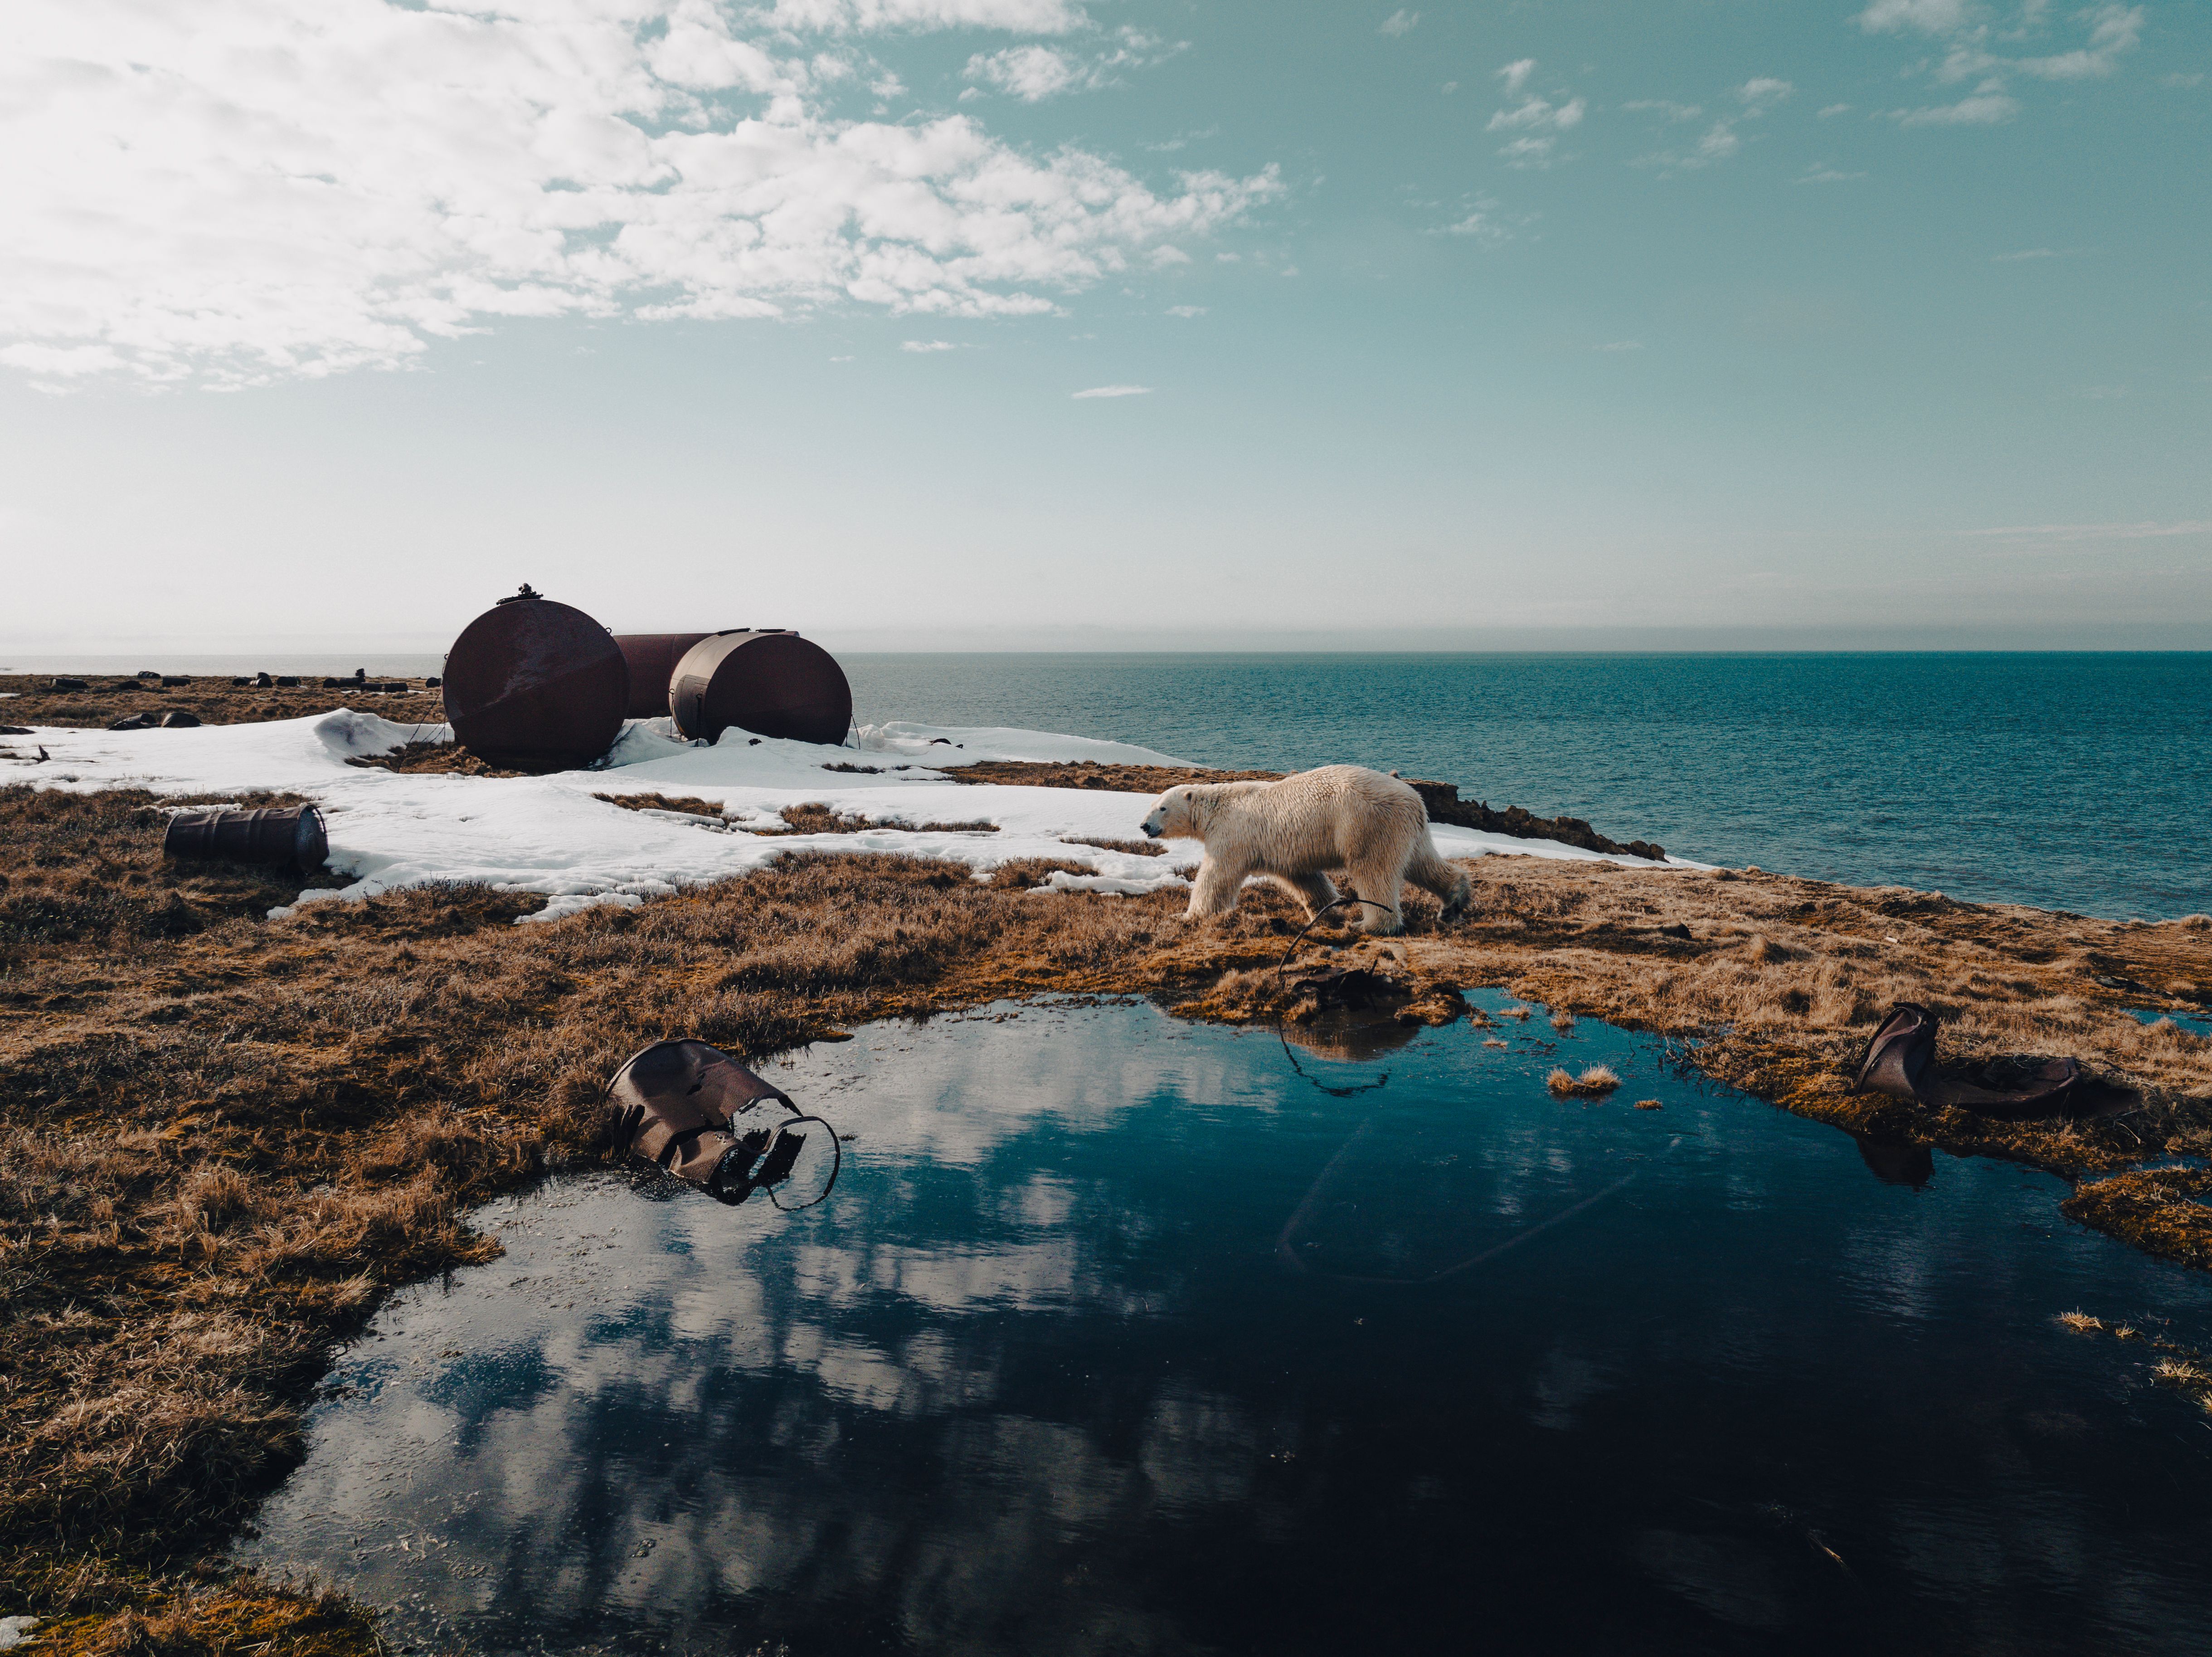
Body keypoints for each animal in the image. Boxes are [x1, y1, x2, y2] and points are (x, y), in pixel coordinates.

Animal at [1139, 764, 1472, 935]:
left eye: (1162, 808)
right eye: (1153, 804)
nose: (1144, 826)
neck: (1216, 809)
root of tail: (1413, 798)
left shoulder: (1233, 835)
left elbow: (1216, 876)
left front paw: (1189, 915)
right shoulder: (1283, 848)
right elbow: (1303, 878)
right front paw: (1326, 910)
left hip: (1366, 824)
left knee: (1373, 871)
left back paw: (1369, 924)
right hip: (1409, 830)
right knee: (1423, 863)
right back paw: (1453, 903)